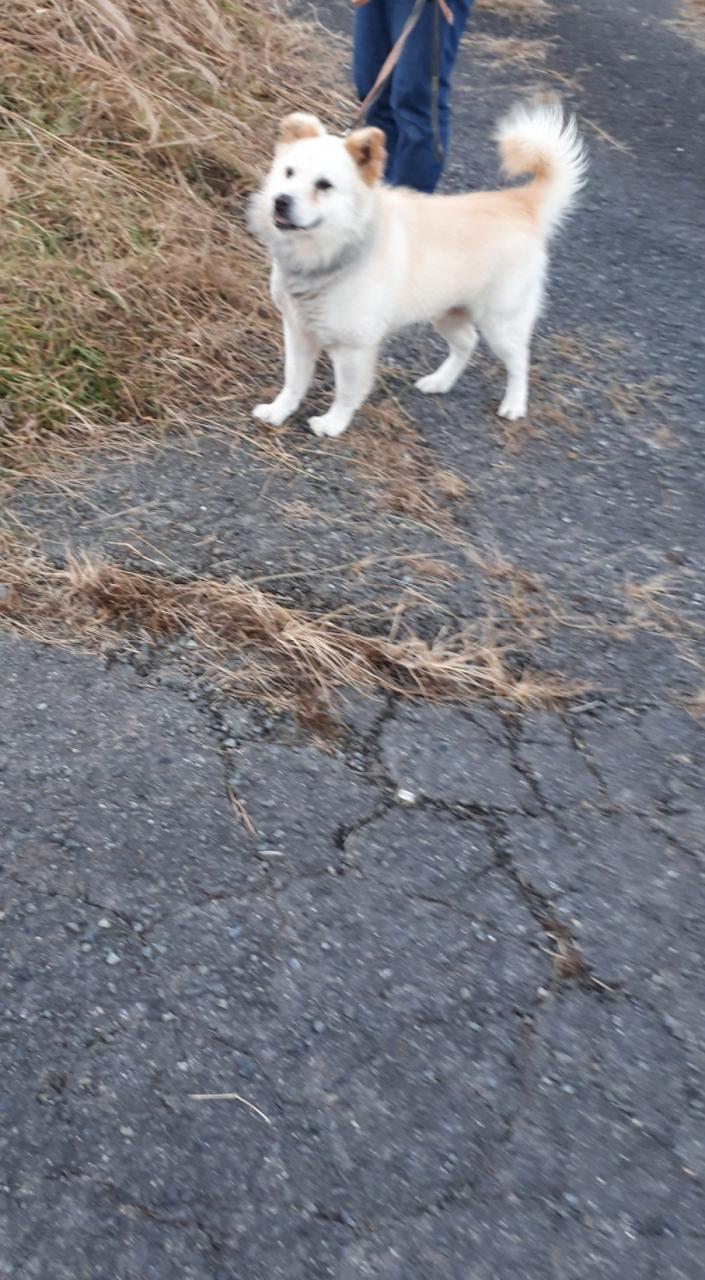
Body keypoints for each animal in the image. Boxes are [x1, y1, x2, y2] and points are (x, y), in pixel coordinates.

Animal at [249, 103, 586, 438]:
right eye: (289, 172)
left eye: (324, 185)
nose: (280, 201)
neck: (334, 252)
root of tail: (520, 204)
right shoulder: (298, 330)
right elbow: (293, 380)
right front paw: (279, 411)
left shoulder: (354, 349)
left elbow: (346, 392)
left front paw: (333, 423)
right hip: (447, 311)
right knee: (467, 342)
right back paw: (440, 381)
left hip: (501, 322)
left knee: (518, 360)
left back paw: (514, 404)